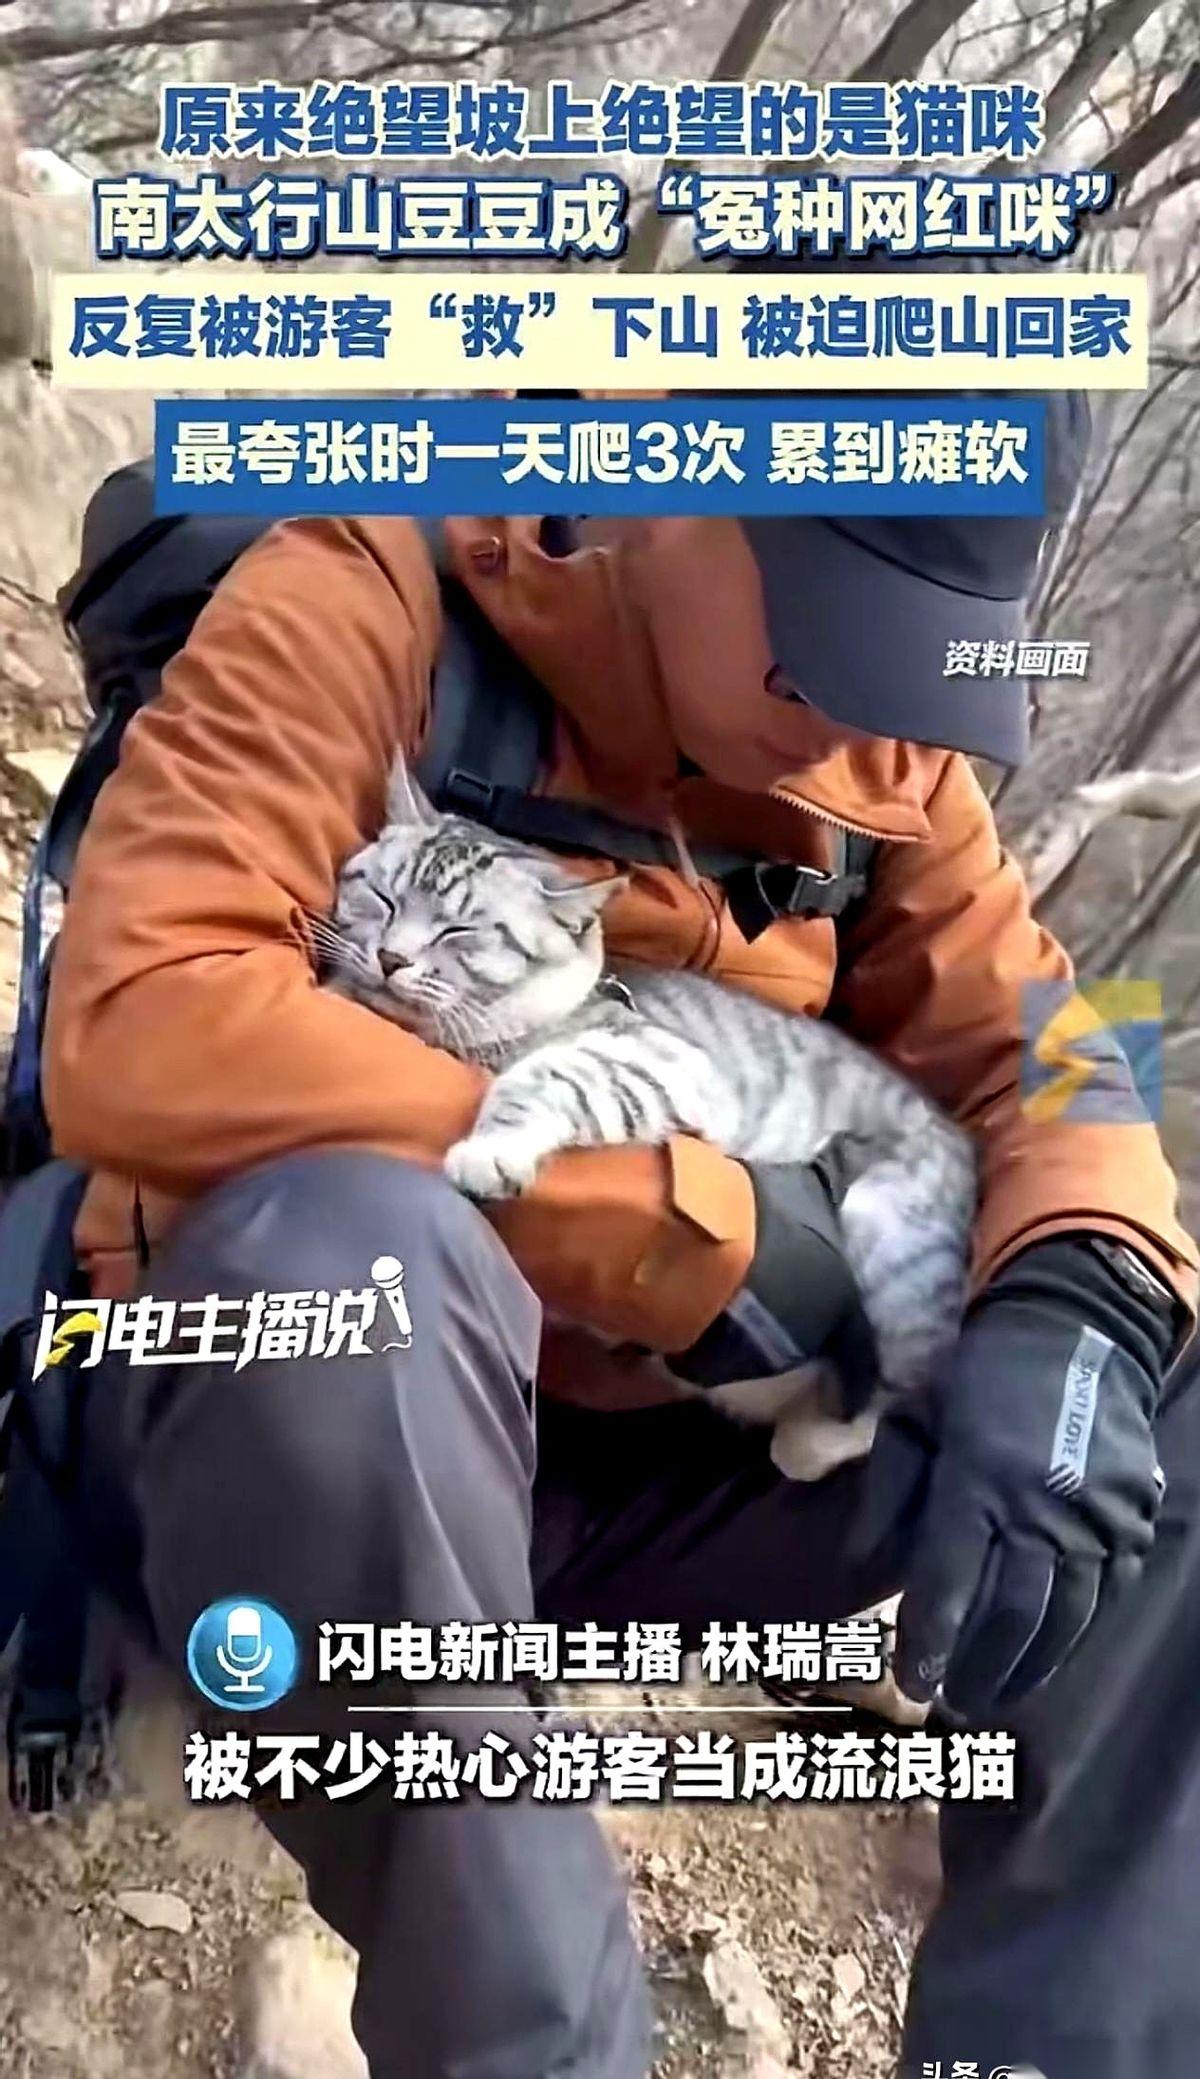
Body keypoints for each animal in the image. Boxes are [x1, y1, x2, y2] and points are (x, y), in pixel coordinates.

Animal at [313, 761, 978, 1482]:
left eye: (459, 932)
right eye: (382, 898)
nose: (391, 959)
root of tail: (964, 1144)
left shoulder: (664, 1062)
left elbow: (548, 1077)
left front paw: (492, 1149)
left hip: (890, 1247)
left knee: (888, 1394)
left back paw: (809, 1441)